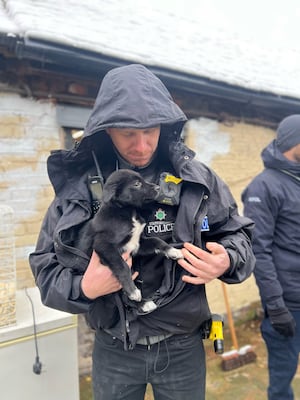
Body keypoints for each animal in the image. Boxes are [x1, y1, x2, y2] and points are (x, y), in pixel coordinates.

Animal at [84, 169, 183, 312]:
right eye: (136, 184)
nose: (158, 187)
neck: (128, 212)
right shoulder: (103, 245)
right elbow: (122, 266)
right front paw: (132, 290)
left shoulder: (137, 245)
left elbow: (157, 241)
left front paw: (173, 251)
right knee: (122, 295)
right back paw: (142, 302)